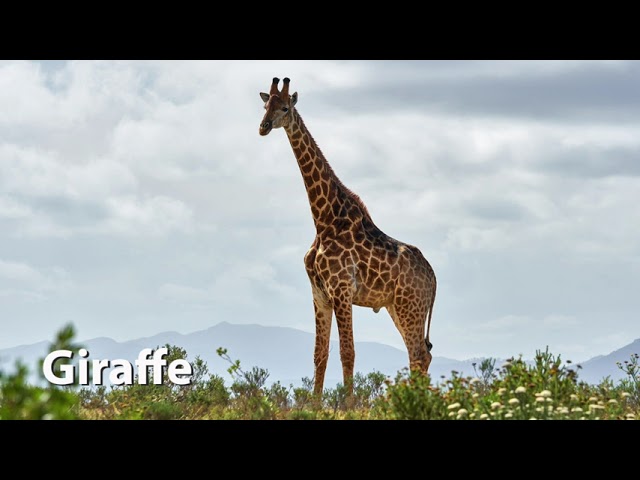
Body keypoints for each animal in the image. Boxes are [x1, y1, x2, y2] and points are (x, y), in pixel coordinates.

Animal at [259, 77, 437, 399]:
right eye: (265, 106)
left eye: (285, 107)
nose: (264, 127)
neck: (323, 220)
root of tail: (433, 277)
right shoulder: (319, 294)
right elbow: (320, 354)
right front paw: (315, 405)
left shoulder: (341, 290)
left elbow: (348, 352)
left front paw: (348, 405)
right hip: (397, 306)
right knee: (421, 353)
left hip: (411, 306)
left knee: (419, 353)